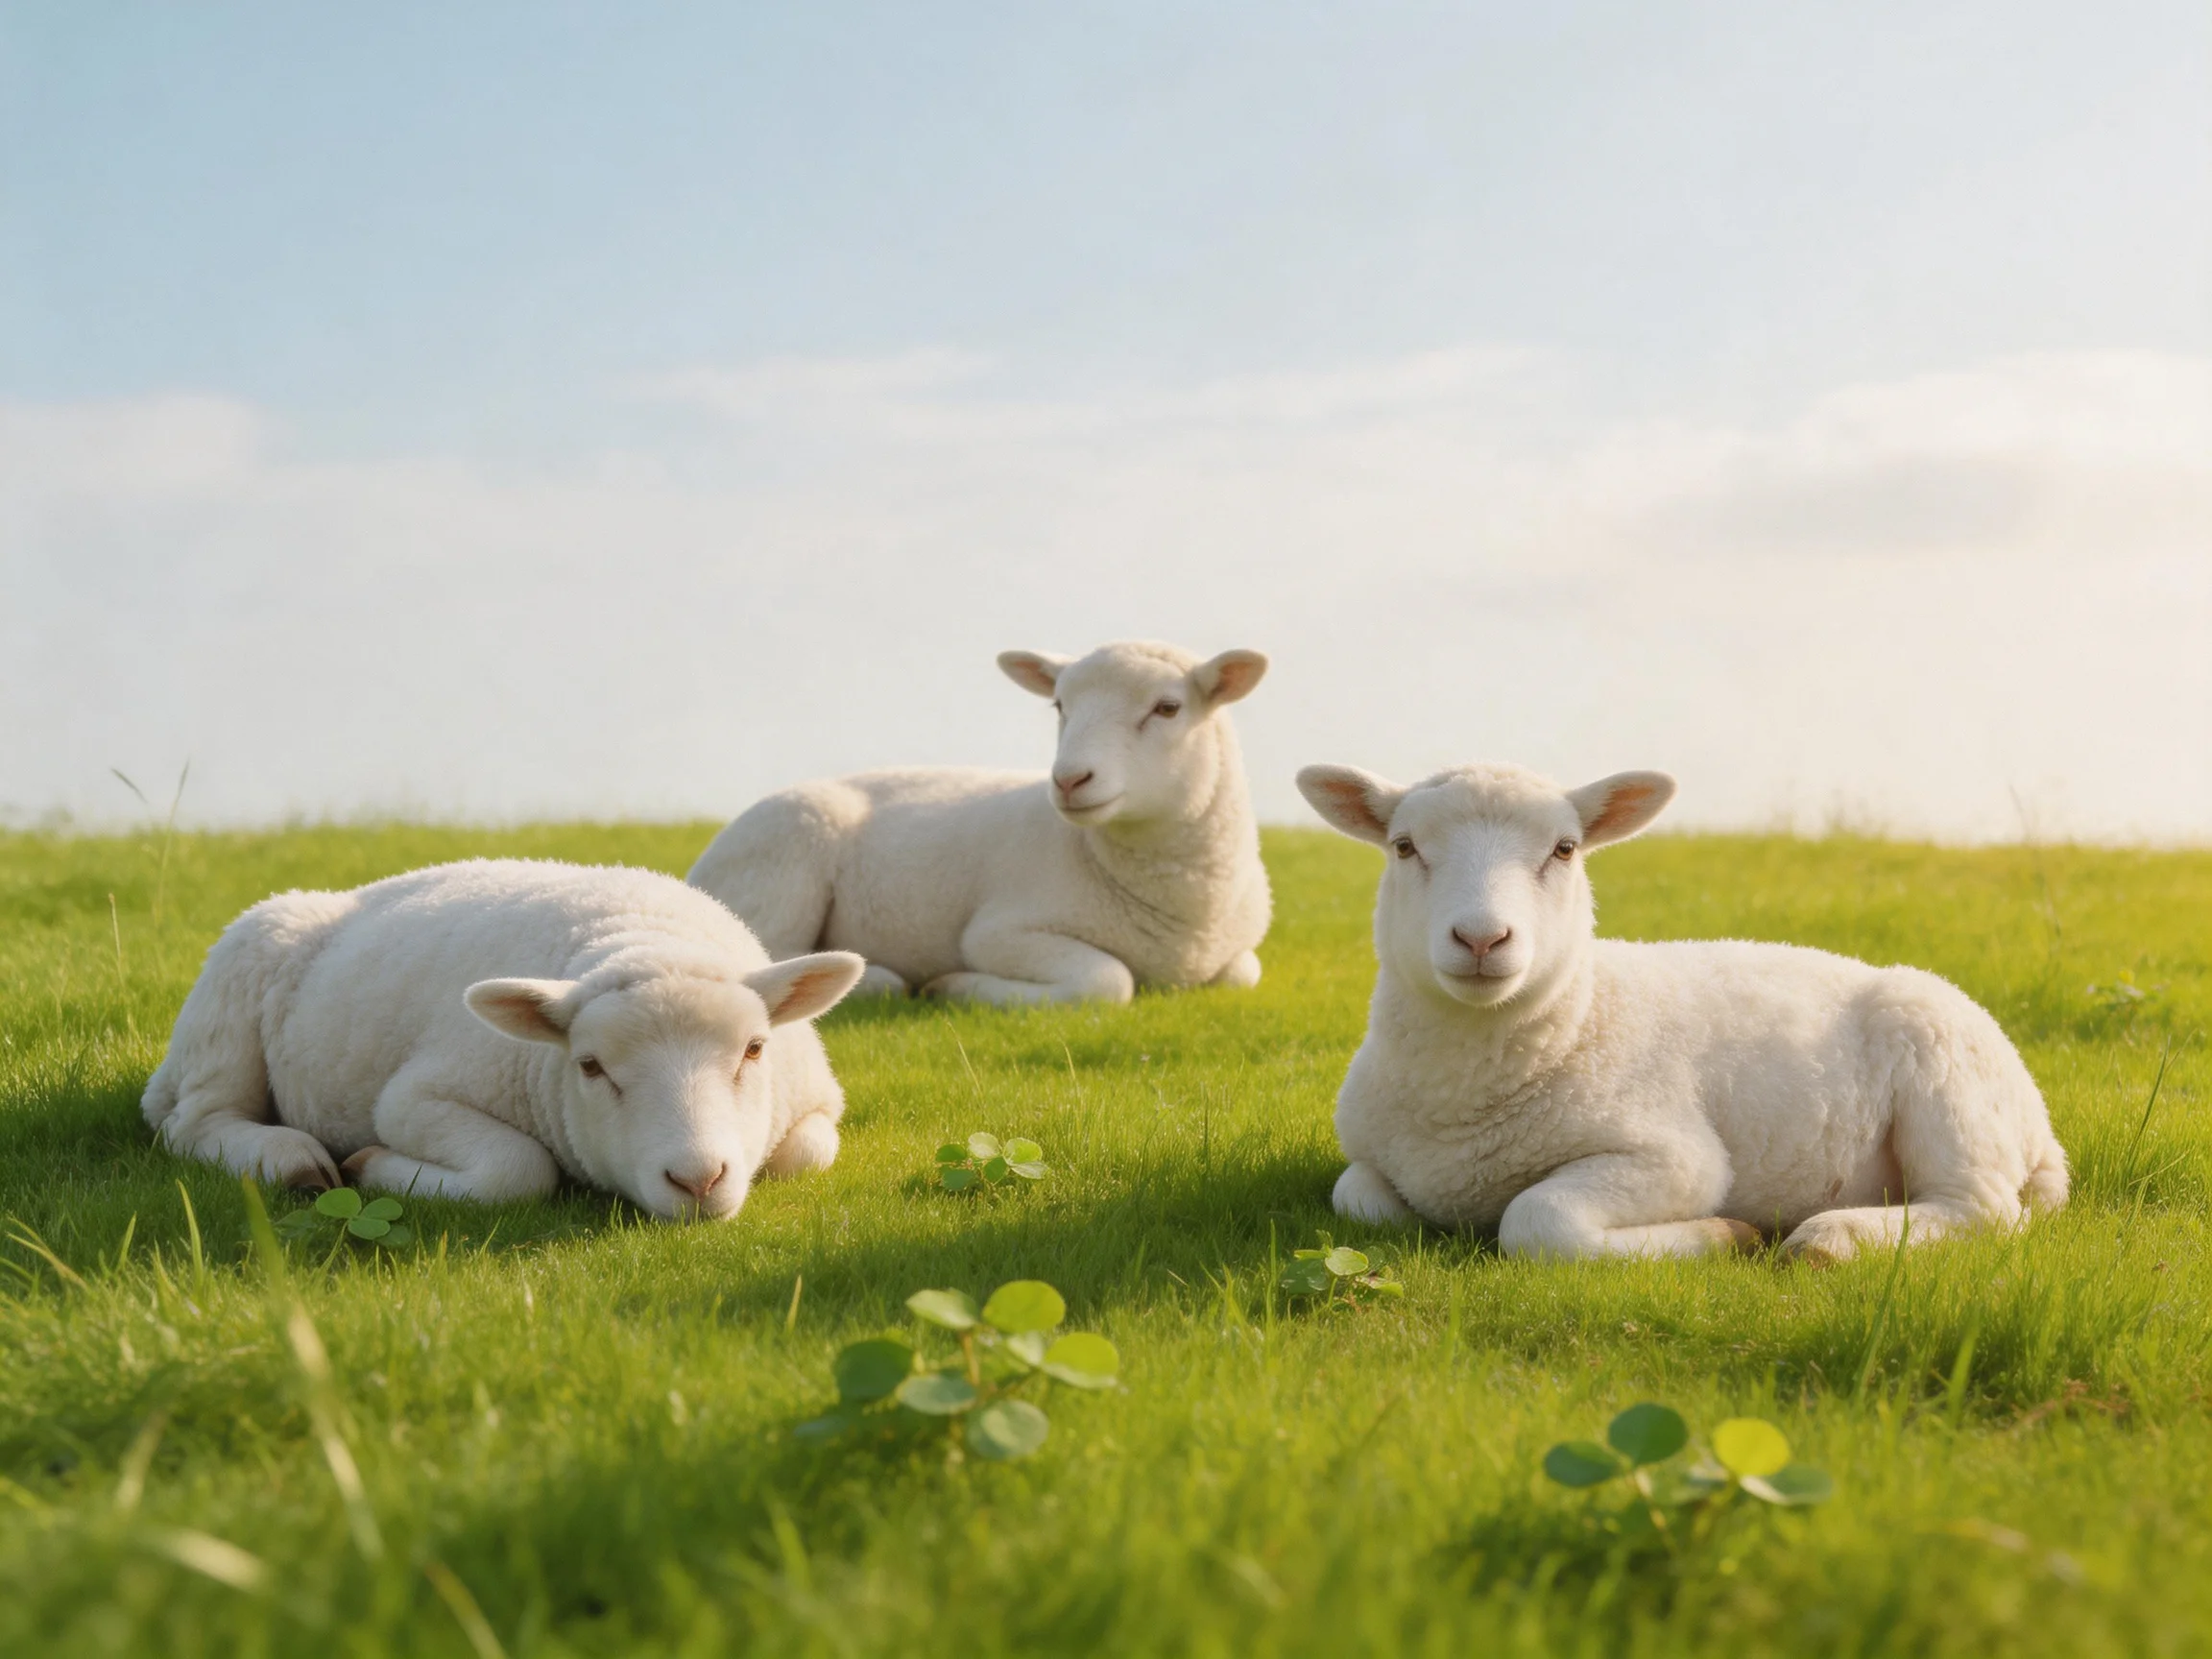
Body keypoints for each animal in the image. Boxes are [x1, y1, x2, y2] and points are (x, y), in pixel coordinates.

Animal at [141, 859, 865, 1220]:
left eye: (754, 1050)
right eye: (591, 1066)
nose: (696, 1179)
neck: (644, 936)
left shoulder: (817, 1106)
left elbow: (807, 1152)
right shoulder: (416, 1100)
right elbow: (517, 1171)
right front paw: (370, 1165)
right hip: (228, 1008)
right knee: (196, 1123)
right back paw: (291, 1160)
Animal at [686, 640, 1273, 1005]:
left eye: (1168, 708)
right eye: (1059, 705)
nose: (1069, 779)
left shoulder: (1237, 957)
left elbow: (1243, 973)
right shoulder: (1000, 932)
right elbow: (1109, 980)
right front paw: (955, 987)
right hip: (783, 867)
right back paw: (882, 978)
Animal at [1295, 760, 2069, 1262]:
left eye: (1565, 849)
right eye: (1404, 847)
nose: (1482, 939)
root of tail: (2044, 1134)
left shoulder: (1675, 1159)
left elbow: (1536, 1221)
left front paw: (1727, 1234)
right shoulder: (1369, 1158)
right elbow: (1356, 1197)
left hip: (1950, 1086)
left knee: (1982, 1210)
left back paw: (1830, 1238)